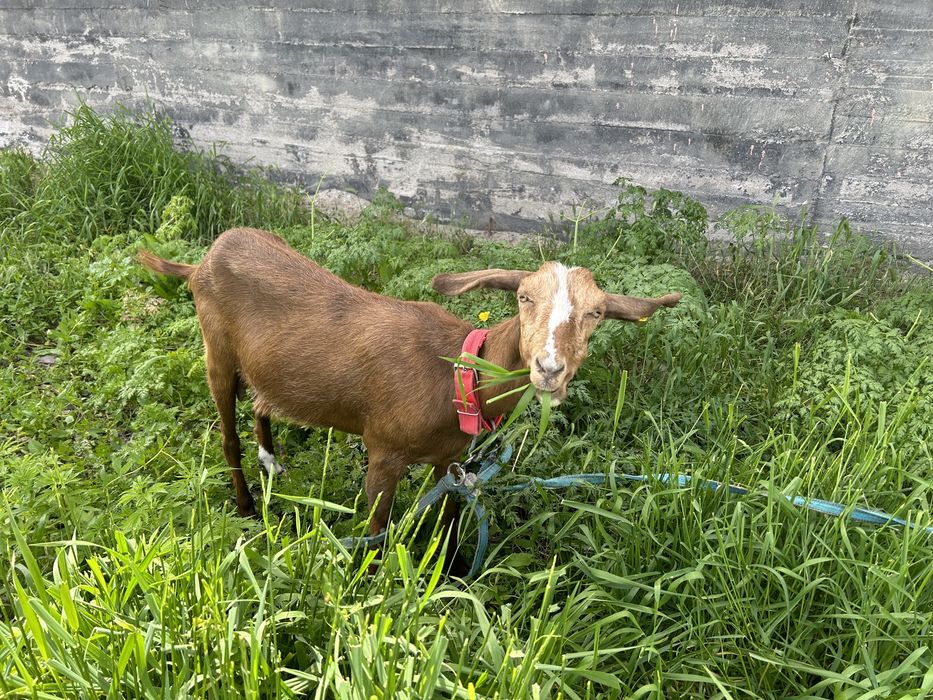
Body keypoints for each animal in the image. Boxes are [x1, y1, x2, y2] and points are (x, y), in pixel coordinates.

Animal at [140, 227, 681, 571]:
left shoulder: (451, 461)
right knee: (227, 434)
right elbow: (377, 530)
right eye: (524, 297)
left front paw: (451, 570)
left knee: (262, 402)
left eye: (596, 313)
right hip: (216, 350)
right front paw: (369, 583)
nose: (549, 369)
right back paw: (247, 507)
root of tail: (202, 261)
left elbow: (449, 521)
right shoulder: (383, 452)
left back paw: (271, 460)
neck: (457, 377)